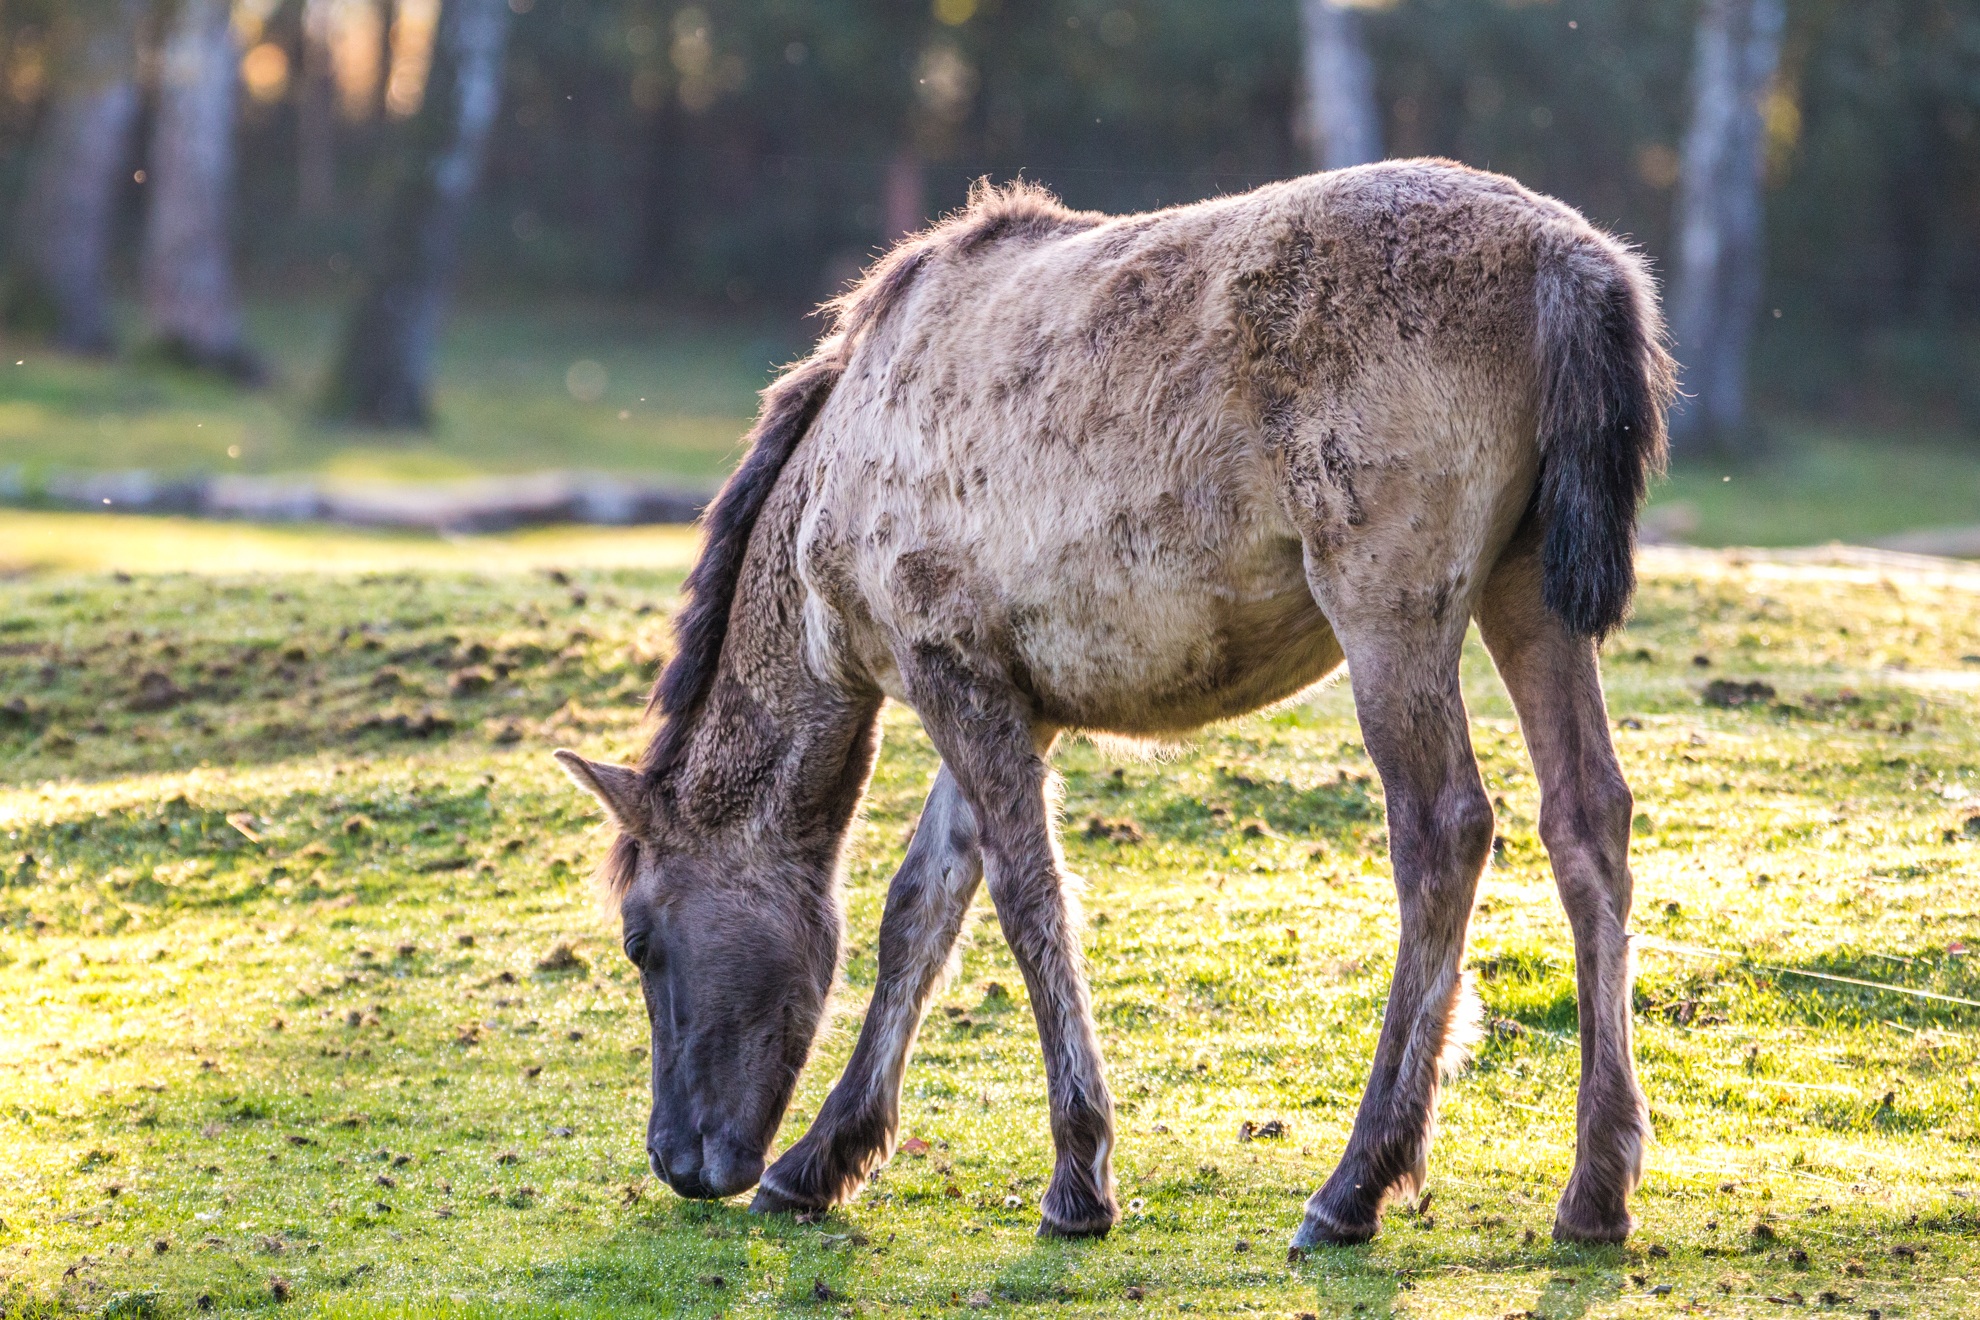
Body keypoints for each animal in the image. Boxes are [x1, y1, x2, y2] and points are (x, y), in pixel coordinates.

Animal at [554, 160, 1671, 1258]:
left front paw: (1078, 1175)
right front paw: (822, 1159)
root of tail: (1570, 261)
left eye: (640, 939)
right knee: (1587, 817)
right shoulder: (1009, 697)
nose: (677, 1158)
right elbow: (919, 908)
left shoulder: (949, 674)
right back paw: (1596, 1189)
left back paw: (1356, 1183)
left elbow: (1023, 899)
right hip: (1526, 588)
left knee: (1445, 830)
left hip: (1391, 607)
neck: (833, 490)